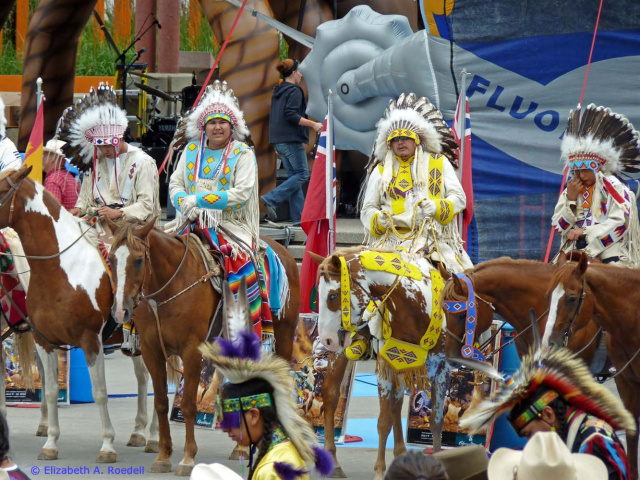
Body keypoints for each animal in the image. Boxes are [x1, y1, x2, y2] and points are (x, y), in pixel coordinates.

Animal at [0, 164, 157, 462]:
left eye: (0, 188)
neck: (61, 269)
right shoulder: (45, 341)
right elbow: (50, 391)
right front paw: (50, 443)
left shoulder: (90, 341)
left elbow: (100, 392)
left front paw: (107, 446)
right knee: (145, 378)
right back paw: (138, 432)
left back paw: (153, 437)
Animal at [108, 218, 302, 476]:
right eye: (111, 259)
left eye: (139, 259)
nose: (120, 311)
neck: (168, 289)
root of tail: (284, 252)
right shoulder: (152, 351)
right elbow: (160, 403)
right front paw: (163, 455)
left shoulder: (192, 351)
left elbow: (189, 404)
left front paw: (188, 458)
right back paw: (241, 447)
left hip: (283, 339)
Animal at [314, 248, 450, 480]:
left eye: (332, 295)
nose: (327, 339)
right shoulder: (387, 366)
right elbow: (384, 420)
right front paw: (380, 470)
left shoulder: (440, 369)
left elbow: (435, 421)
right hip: (341, 353)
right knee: (331, 395)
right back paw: (333, 460)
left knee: (396, 404)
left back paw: (401, 453)